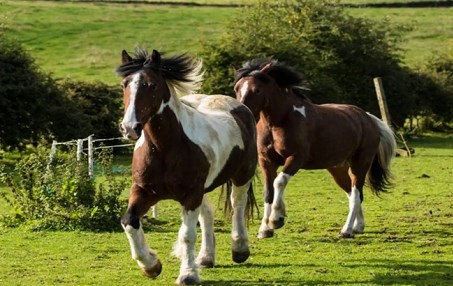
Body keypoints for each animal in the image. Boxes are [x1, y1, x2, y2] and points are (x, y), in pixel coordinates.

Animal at [235, 59, 394, 240]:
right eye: (237, 88)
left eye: (257, 89)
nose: (242, 110)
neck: (281, 121)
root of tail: (368, 118)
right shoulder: (266, 162)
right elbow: (269, 192)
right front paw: (265, 229)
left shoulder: (296, 158)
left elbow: (279, 181)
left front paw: (276, 219)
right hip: (338, 169)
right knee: (355, 194)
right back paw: (358, 227)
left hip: (359, 165)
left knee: (355, 194)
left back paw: (346, 230)